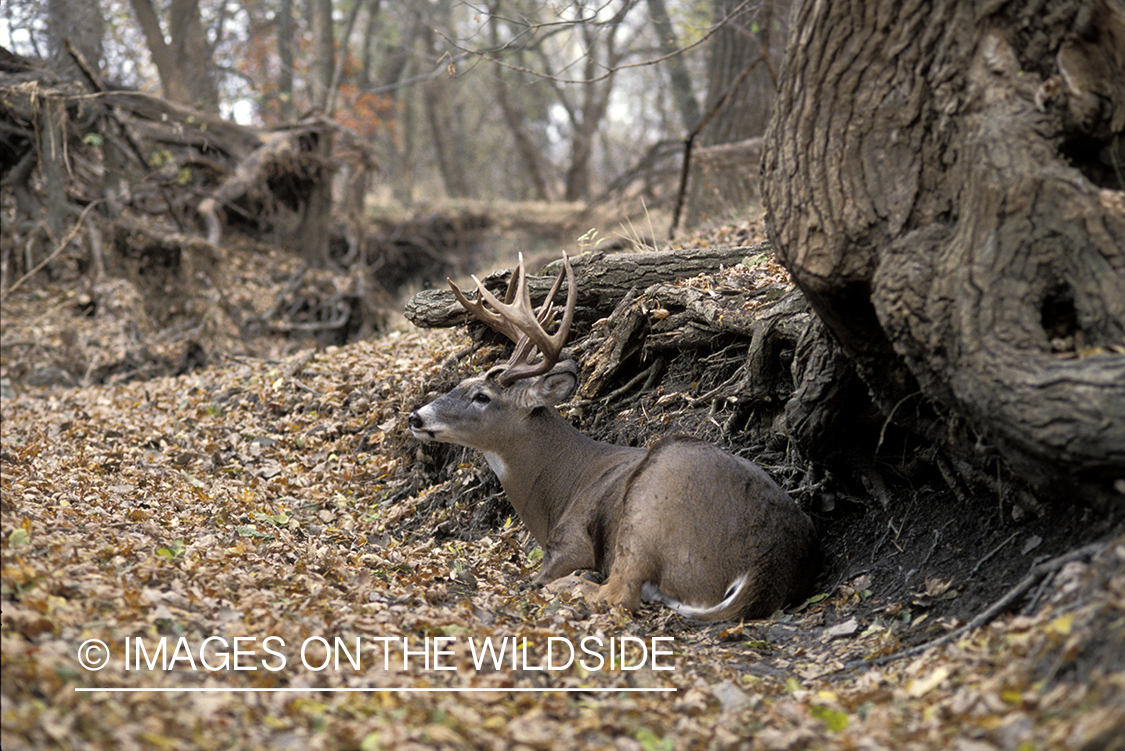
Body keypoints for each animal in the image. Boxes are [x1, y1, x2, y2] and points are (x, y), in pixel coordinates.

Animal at [409, 254, 823, 620]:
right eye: (462, 382)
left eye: (482, 397)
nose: (416, 416)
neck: (557, 489)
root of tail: (763, 567)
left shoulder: (571, 543)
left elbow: (538, 578)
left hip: (650, 504)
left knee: (618, 593)